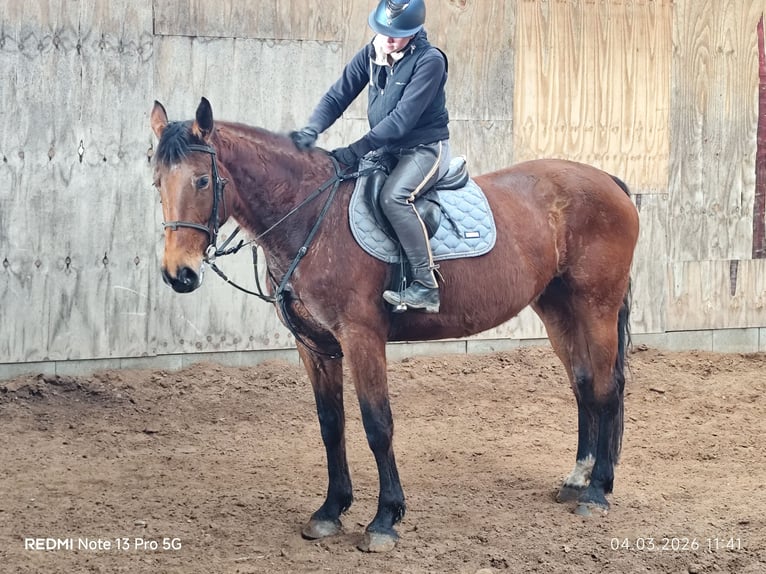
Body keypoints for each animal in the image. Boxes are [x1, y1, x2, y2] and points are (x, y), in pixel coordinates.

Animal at [150, 97, 639, 552]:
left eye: (202, 180)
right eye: (157, 182)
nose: (179, 275)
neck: (314, 218)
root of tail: (607, 181)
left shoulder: (361, 337)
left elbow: (377, 424)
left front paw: (385, 519)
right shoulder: (314, 346)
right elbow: (331, 424)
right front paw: (330, 511)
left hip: (596, 306)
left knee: (604, 388)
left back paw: (597, 492)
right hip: (558, 307)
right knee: (582, 384)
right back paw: (577, 479)